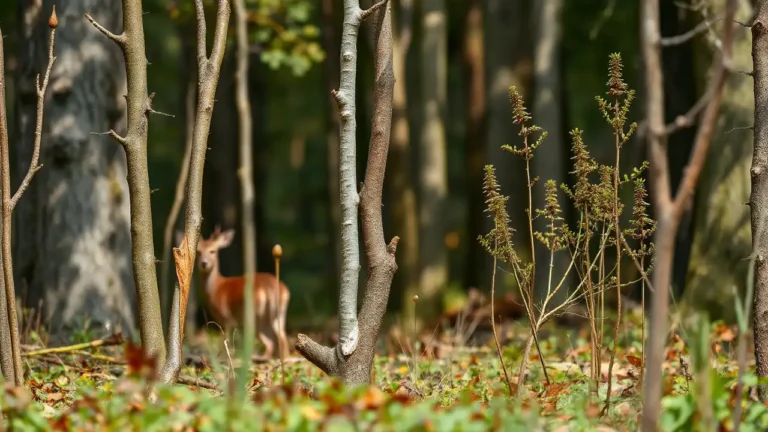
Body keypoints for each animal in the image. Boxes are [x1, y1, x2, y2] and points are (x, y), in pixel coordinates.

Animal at [180, 226, 290, 359]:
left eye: (213, 251)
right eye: (199, 252)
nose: (204, 263)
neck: (216, 288)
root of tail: (270, 286)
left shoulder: (226, 317)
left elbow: (224, 340)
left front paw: (223, 357)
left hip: (252, 311)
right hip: (278, 312)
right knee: (279, 337)